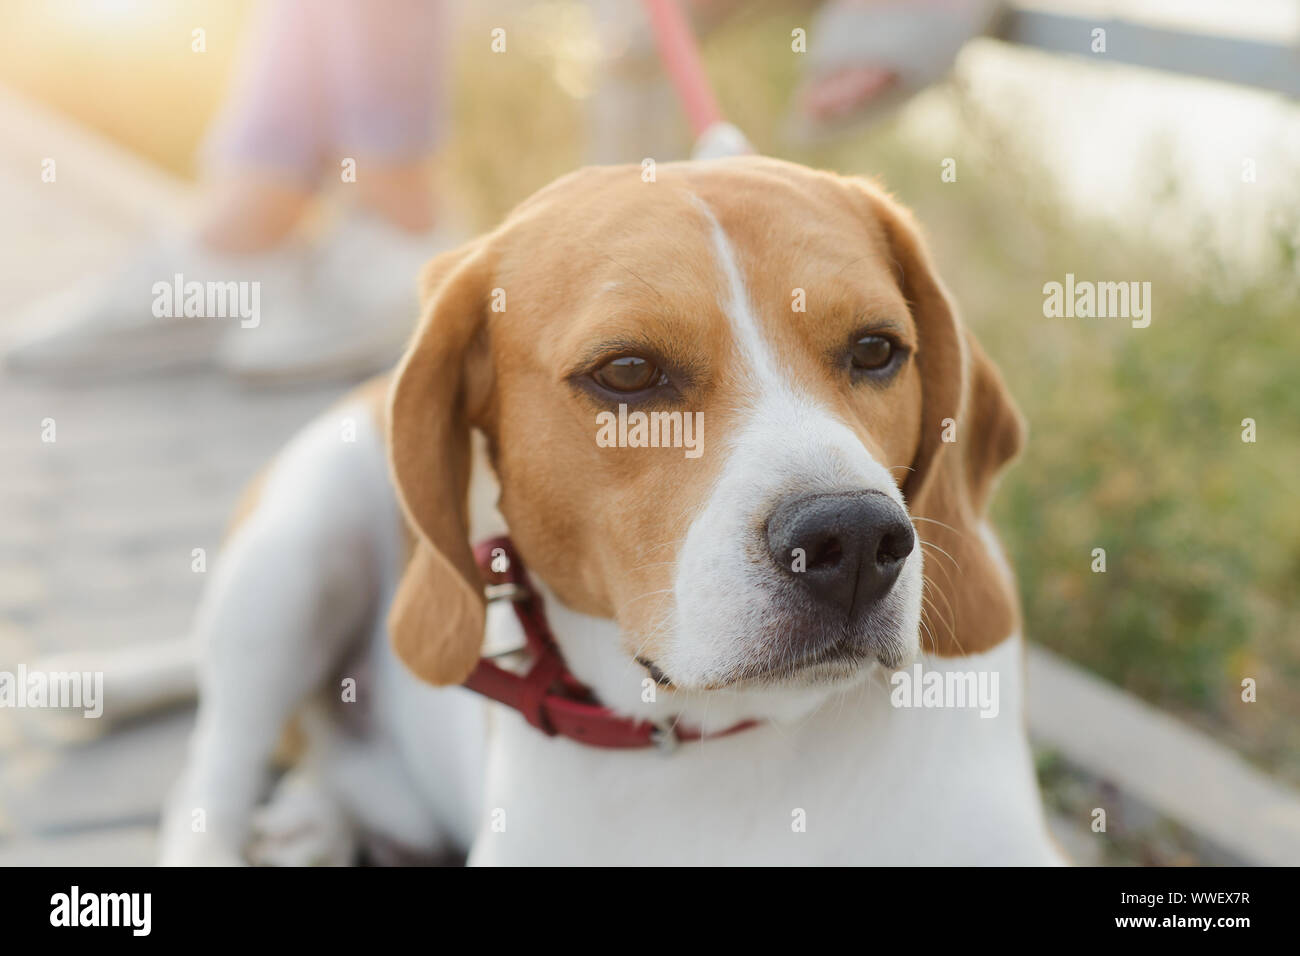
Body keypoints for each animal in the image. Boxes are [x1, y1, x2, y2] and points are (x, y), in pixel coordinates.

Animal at [157, 155, 1060, 868]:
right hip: (295, 551)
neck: (730, 753)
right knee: (211, 780)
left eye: (876, 350)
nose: (859, 537)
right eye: (628, 371)